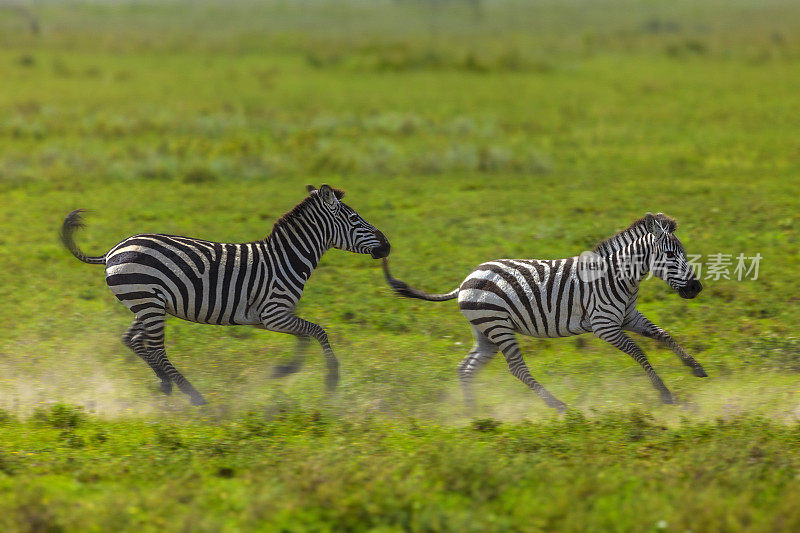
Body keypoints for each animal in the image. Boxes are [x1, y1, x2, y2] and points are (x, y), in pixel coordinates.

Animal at [61, 185, 390, 406]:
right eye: (355, 219)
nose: (387, 246)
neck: (286, 258)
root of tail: (112, 250)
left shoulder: (274, 318)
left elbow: (305, 338)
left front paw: (283, 370)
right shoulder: (274, 314)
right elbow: (318, 331)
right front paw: (332, 379)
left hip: (145, 302)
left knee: (133, 341)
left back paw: (166, 384)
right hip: (148, 302)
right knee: (155, 348)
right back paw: (194, 395)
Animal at [386, 213, 708, 412]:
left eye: (683, 252)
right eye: (670, 255)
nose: (696, 287)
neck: (620, 278)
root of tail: (465, 281)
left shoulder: (629, 316)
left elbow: (664, 335)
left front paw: (695, 367)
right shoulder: (604, 325)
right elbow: (640, 353)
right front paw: (664, 393)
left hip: (485, 331)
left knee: (466, 368)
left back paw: (472, 412)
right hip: (498, 325)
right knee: (517, 369)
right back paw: (560, 406)